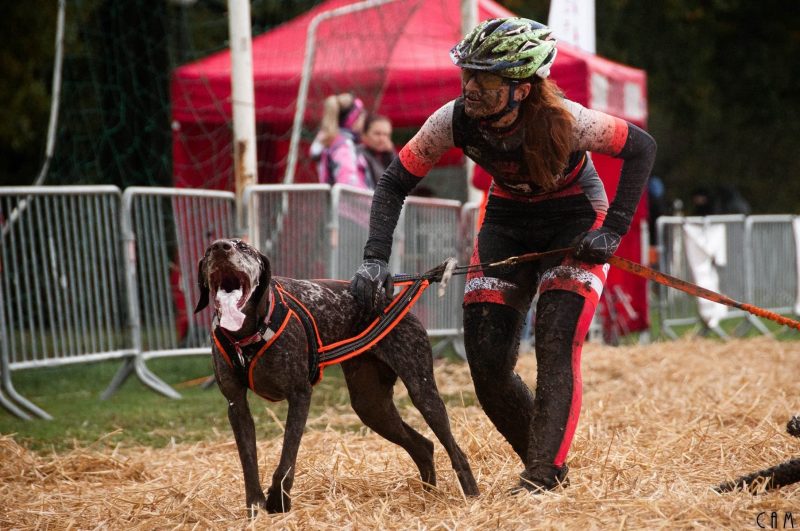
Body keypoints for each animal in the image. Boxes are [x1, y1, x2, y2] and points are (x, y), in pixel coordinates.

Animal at [196, 240, 478, 516]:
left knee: (455, 451)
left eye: (243, 247)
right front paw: (255, 509)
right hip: (372, 407)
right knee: (424, 446)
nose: (220, 247)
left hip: (422, 392)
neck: (246, 336)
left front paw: (278, 501)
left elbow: (287, 459)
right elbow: (249, 464)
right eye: (208, 250)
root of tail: (391, 296)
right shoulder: (237, 406)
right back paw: (427, 498)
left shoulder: (299, 395)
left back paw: (472, 497)